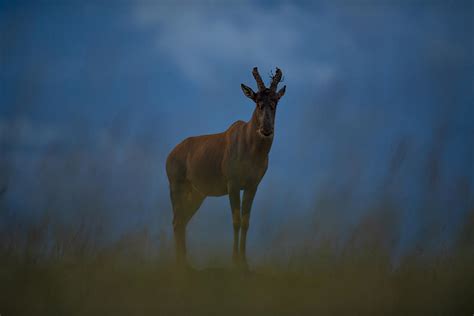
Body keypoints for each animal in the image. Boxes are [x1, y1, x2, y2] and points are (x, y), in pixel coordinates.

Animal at [166, 66, 286, 270]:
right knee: (176, 221)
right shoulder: (233, 185)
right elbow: (236, 221)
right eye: (257, 102)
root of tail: (173, 153)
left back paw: (186, 263)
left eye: (275, 101)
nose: (266, 129)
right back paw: (180, 264)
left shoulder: (252, 186)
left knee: (182, 221)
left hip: (197, 194)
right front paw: (234, 261)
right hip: (176, 188)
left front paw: (244, 263)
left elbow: (246, 221)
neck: (248, 143)